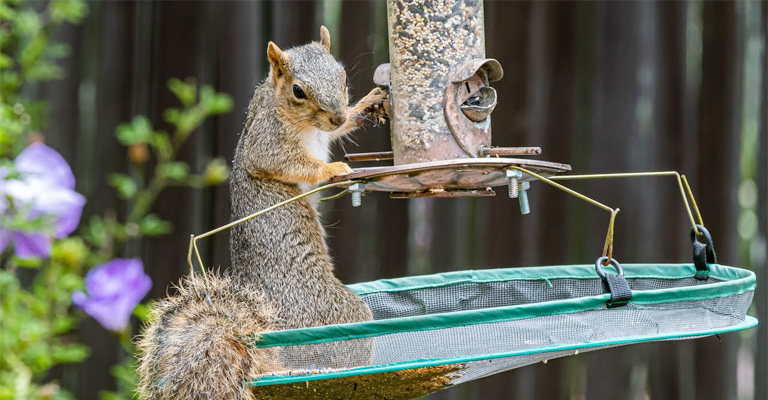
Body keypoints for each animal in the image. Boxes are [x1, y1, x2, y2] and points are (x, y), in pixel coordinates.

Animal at [136, 26, 390, 398]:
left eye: (343, 77)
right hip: (343, 315)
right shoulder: (267, 140)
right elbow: (289, 163)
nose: (338, 116)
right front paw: (333, 169)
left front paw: (363, 107)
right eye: (298, 91)